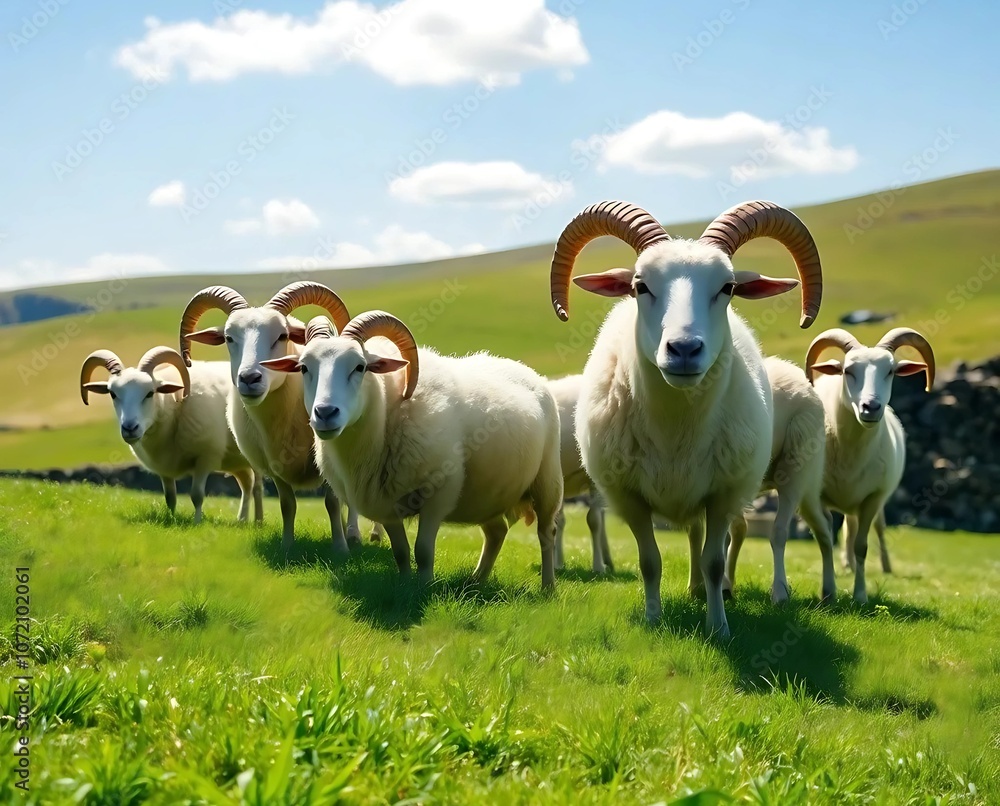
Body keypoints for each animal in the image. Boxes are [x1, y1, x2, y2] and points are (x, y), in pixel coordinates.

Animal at [80, 346, 262, 523]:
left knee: (257, 487)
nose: (129, 428)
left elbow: (196, 495)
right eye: (112, 394)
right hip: (235, 461)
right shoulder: (163, 466)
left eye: (150, 393)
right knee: (247, 483)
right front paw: (171, 519)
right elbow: (170, 498)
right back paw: (242, 520)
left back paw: (258, 521)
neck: (173, 403)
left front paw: (197, 523)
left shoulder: (205, 457)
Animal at [178, 282, 382, 555]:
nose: (249, 378)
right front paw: (287, 545)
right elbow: (287, 506)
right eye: (229, 338)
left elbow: (332, 502)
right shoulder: (275, 467)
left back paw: (362, 534)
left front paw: (340, 548)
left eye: (282, 336)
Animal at [259, 311, 564, 590]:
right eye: (303, 368)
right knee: (497, 531)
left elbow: (424, 551)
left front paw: (424, 587)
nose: (324, 413)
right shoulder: (385, 504)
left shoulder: (438, 495)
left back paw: (547, 587)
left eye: (360, 367)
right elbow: (402, 553)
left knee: (546, 532)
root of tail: (525, 370)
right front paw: (406, 586)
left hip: (547, 480)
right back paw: (476, 581)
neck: (388, 412)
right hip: (488, 496)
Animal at [548, 374, 614, 574]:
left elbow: (594, 521)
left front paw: (598, 567)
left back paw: (607, 561)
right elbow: (558, 521)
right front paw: (556, 563)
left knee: (601, 517)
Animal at [806, 327, 935, 603]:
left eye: (891, 371)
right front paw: (828, 592)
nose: (871, 407)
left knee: (876, 529)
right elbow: (825, 539)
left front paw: (860, 595)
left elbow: (862, 546)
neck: (849, 450)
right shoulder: (817, 495)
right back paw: (846, 565)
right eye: (848, 370)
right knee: (847, 528)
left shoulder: (873, 498)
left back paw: (884, 566)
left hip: (874, 501)